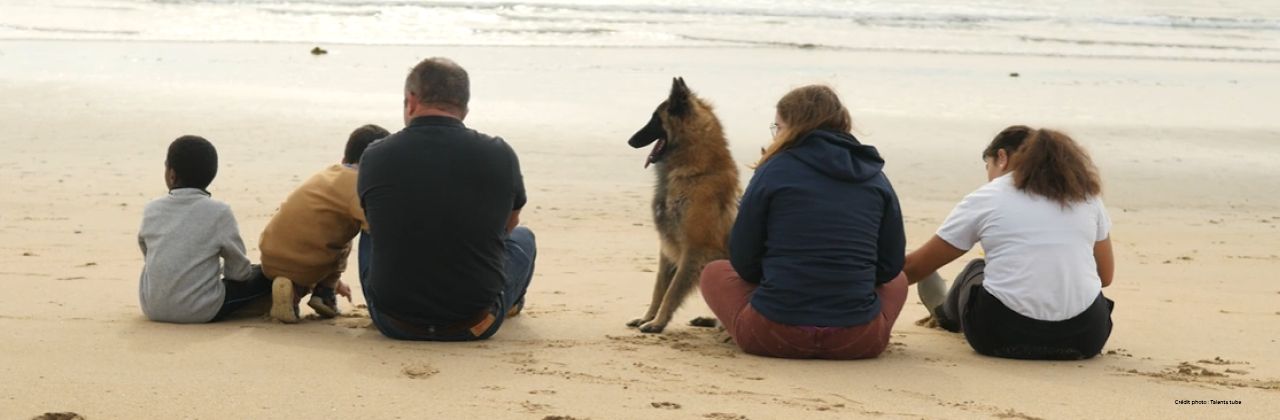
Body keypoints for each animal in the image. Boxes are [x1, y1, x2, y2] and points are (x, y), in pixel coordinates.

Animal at [627, 77, 742, 335]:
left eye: (655, 119)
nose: (630, 141)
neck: (694, 174)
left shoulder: (695, 250)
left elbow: (672, 291)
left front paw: (658, 323)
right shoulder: (667, 248)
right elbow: (659, 289)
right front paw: (648, 318)